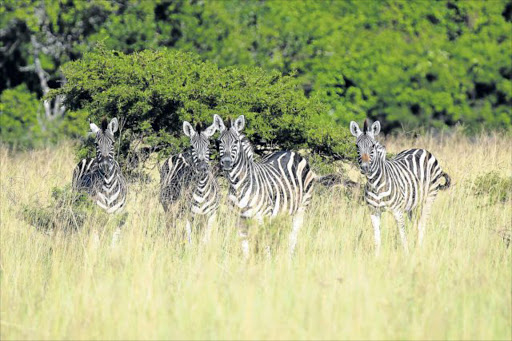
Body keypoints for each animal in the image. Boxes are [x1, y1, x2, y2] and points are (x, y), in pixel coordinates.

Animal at [212, 113, 340, 256]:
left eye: (236, 142)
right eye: (219, 142)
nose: (226, 162)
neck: (238, 185)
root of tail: (292, 152)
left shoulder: (263, 216)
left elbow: (264, 244)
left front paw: (268, 261)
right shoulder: (240, 219)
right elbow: (245, 248)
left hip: (302, 207)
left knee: (293, 236)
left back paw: (289, 258)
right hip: (284, 211)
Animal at [350, 119, 450, 252]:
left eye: (373, 146)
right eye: (357, 146)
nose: (365, 168)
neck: (375, 184)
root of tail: (421, 149)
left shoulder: (397, 211)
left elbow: (402, 235)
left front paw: (406, 254)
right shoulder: (374, 211)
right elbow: (377, 237)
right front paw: (377, 256)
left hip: (430, 197)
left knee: (422, 224)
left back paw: (419, 249)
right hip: (412, 204)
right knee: (414, 224)